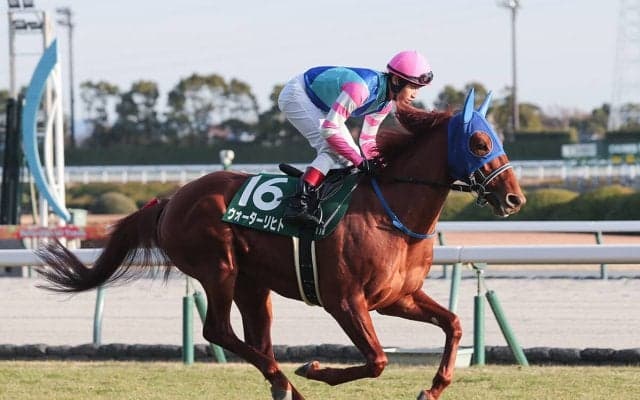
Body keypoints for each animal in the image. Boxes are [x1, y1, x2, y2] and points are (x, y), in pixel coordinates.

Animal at [36, 88, 525, 400]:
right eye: (479, 142)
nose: (514, 198)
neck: (393, 213)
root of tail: (172, 199)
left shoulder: (396, 297)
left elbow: (454, 325)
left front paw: (433, 387)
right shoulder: (345, 300)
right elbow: (378, 359)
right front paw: (314, 369)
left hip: (254, 285)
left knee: (257, 339)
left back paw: (284, 387)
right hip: (219, 269)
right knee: (219, 331)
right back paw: (290, 383)